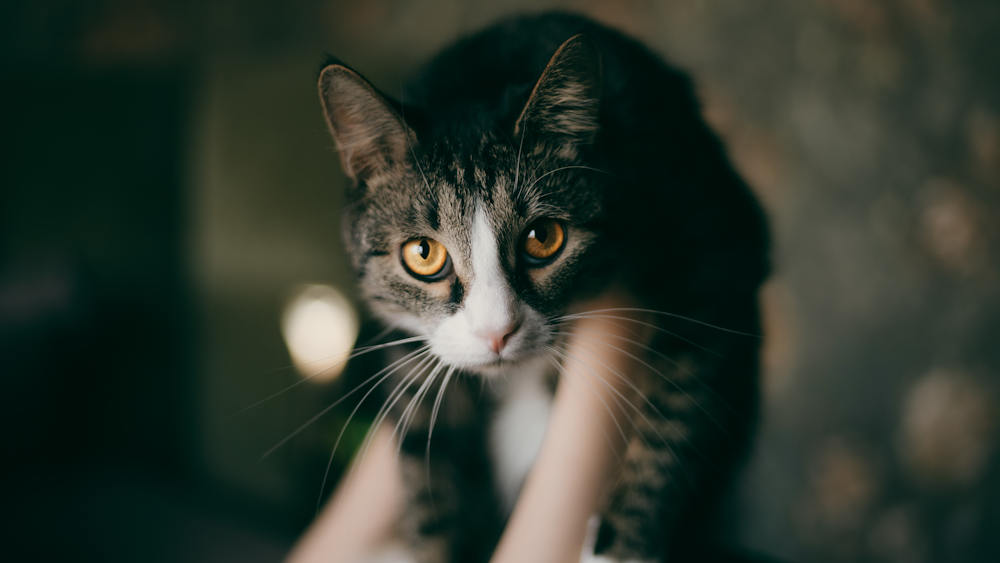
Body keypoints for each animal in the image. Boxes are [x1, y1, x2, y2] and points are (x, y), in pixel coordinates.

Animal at [316, 9, 768, 563]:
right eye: (422, 254)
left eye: (543, 238)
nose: (496, 333)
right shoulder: (412, 350)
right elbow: (431, 468)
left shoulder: (715, 249)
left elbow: (678, 406)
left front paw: (622, 543)